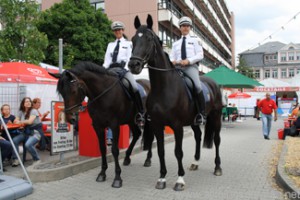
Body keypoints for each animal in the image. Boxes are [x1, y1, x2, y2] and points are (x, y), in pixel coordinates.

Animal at [127, 15, 224, 191]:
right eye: (132, 39)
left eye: (149, 38)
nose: (133, 65)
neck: (163, 88)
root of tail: (213, 83)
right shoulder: (157, 125)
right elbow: (160, 151)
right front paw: (162, 178)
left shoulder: (177, 126)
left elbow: (178, 152)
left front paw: (179, 180)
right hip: (193, 121)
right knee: (198, 136)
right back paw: (195, 162)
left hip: (216, 116)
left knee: (217, 140)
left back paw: (218, 168)